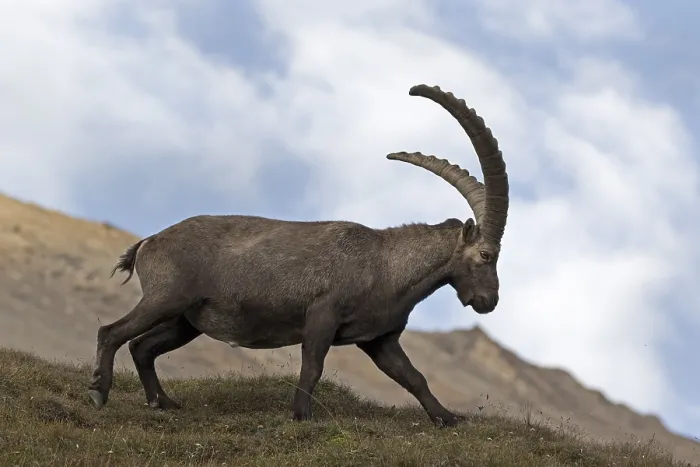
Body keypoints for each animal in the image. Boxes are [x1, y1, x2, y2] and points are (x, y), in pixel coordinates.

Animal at [89, 84, 510, 427]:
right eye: (486, 254)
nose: (488, 301)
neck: (387, 264)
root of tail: (150, 241)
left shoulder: (379, 339)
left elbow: (413, 377)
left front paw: (448, 419)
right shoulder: (322, 316)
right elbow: (313, 368)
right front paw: (301, 417)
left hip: (188, 320)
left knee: (142, 347)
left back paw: (162, 403)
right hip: (166, 298)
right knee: (112, 332)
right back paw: (99, 393)